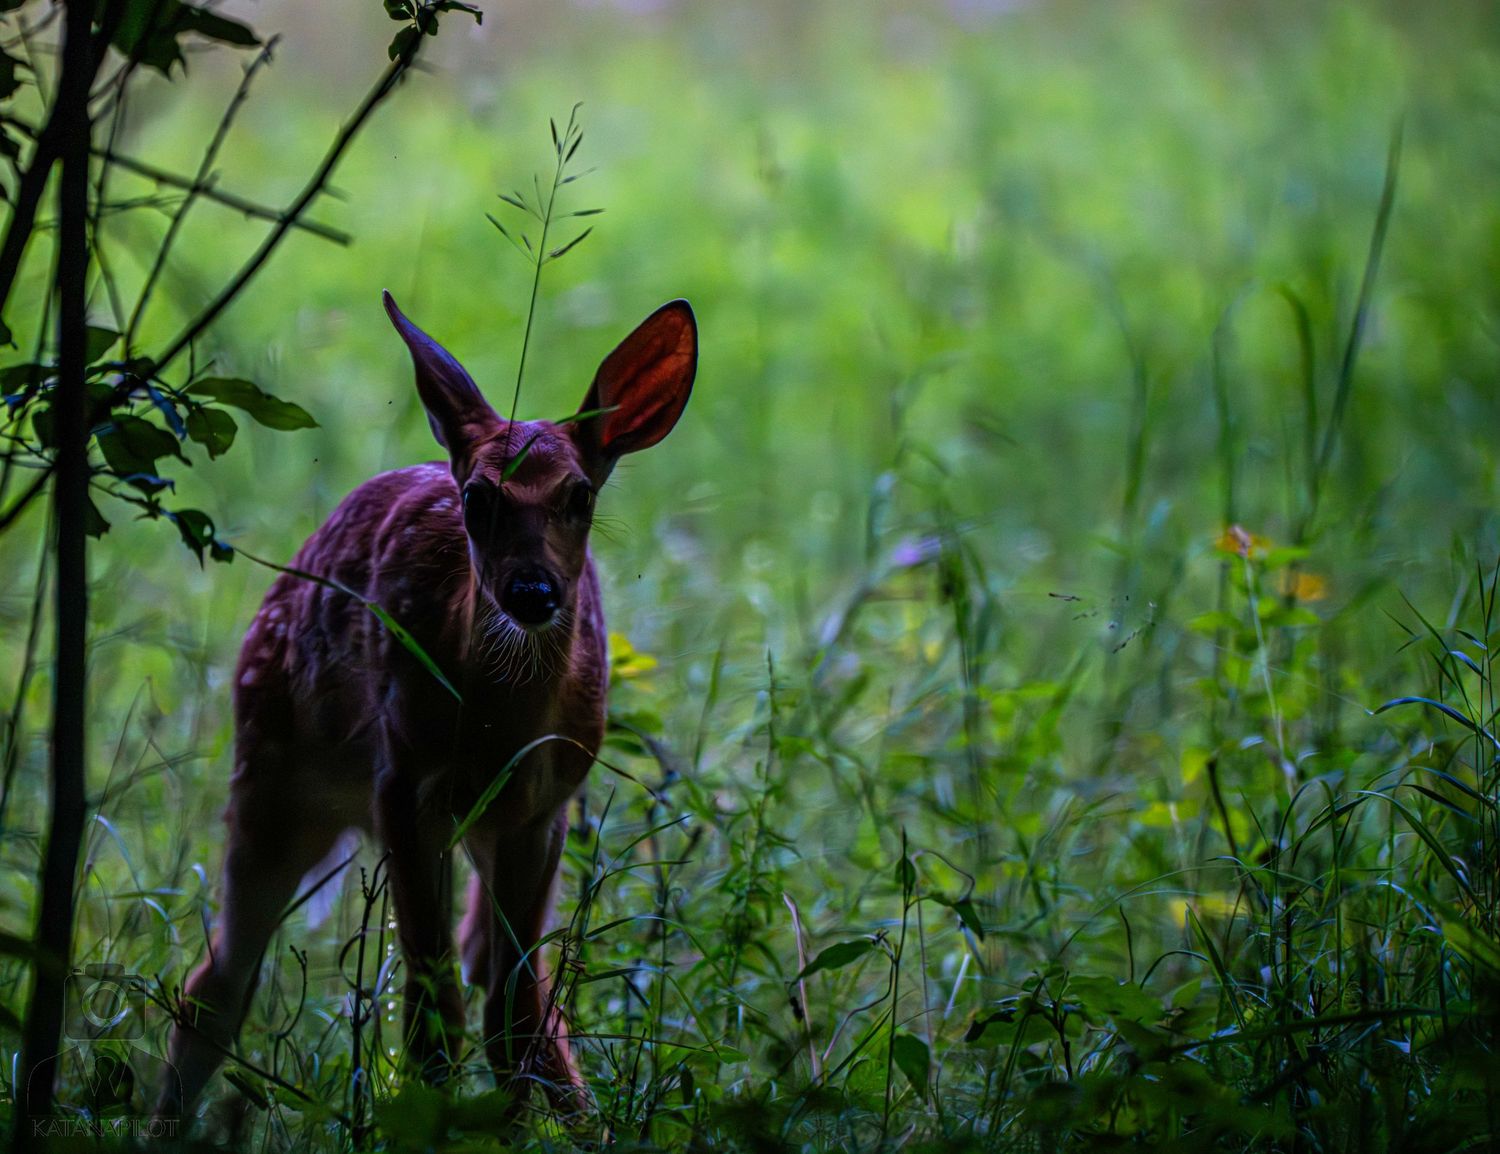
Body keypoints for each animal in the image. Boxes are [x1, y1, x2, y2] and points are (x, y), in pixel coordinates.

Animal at [159, 291, 697, 1120]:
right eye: (477, 496)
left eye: (580, 495)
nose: (533, 590)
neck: (498, 728)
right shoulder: (405, 785)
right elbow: (432, 1015)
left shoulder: (542, 808)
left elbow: (513, 1012)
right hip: (270, 770)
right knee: (215, 985)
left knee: (501, 980)